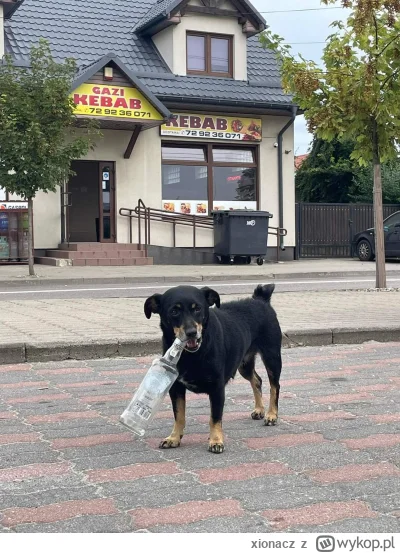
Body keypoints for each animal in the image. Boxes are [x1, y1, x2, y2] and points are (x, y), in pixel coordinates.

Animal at [144, 284, 282, 452]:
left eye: (197, 309)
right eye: (174, 311)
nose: (191, 333)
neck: (192, 354)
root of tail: (261, 299)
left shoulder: (217, 388)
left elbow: (215, 418)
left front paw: (216, 441)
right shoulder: (175, 388)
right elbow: (179, 415)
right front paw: (174, 437)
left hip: (272, 357)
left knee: (274, 386)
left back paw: (272, 414)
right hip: (244, 364)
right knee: (257, 380)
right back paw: (259, 410)